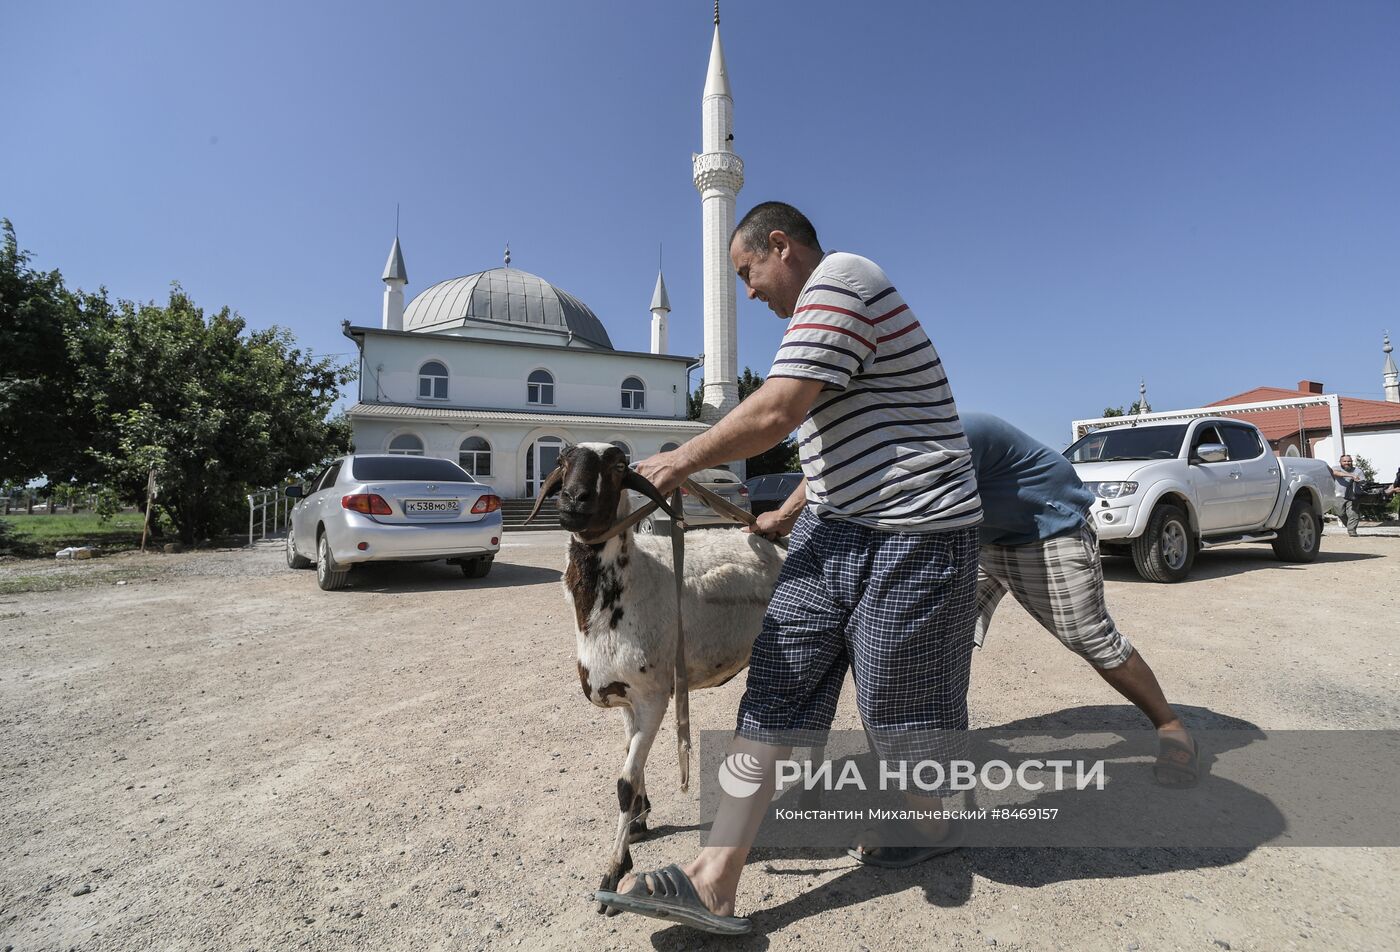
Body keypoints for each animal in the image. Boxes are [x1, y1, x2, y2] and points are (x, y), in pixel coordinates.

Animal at [526, 445, 789, 907]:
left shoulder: (653, 696)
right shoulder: (628, 698)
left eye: (617, 467)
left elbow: (623, 784)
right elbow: (632, 758)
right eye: (561, 460)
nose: (573, 500)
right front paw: (639, 821)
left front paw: (614, 870)